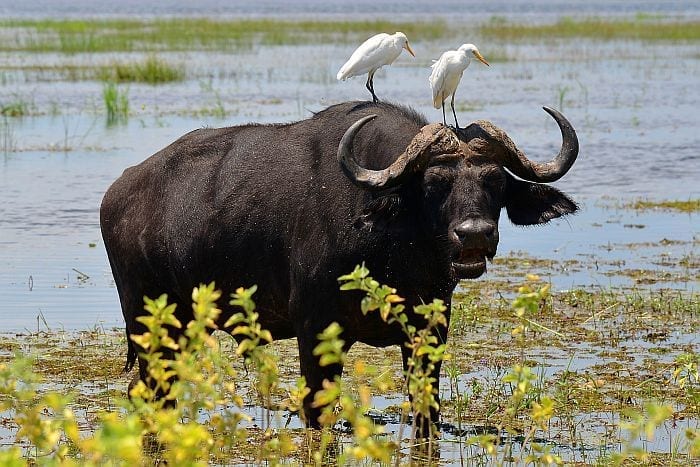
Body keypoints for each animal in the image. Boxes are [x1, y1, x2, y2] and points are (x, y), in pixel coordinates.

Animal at [100, 101, 579, 431]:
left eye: (495, 180)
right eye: (434, 184)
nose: (475, 234)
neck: (395, 250)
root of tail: (118, 192)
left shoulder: (430, 330)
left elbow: (425, 412)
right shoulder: (315, 330)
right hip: (148, 324)